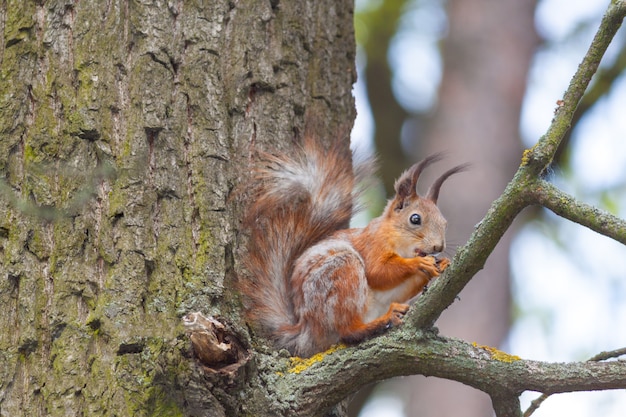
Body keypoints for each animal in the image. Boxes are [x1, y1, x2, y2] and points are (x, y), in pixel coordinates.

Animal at [241, 135, 466, 356]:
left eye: (445, 223)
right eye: (415, 219)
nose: (438, 247)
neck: (399, 242)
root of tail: (308, 330)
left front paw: (443, 263)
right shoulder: (372, 244)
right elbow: (378, 271)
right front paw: (419, 263)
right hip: (341, 275)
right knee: (348, 331)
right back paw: (382, 320)